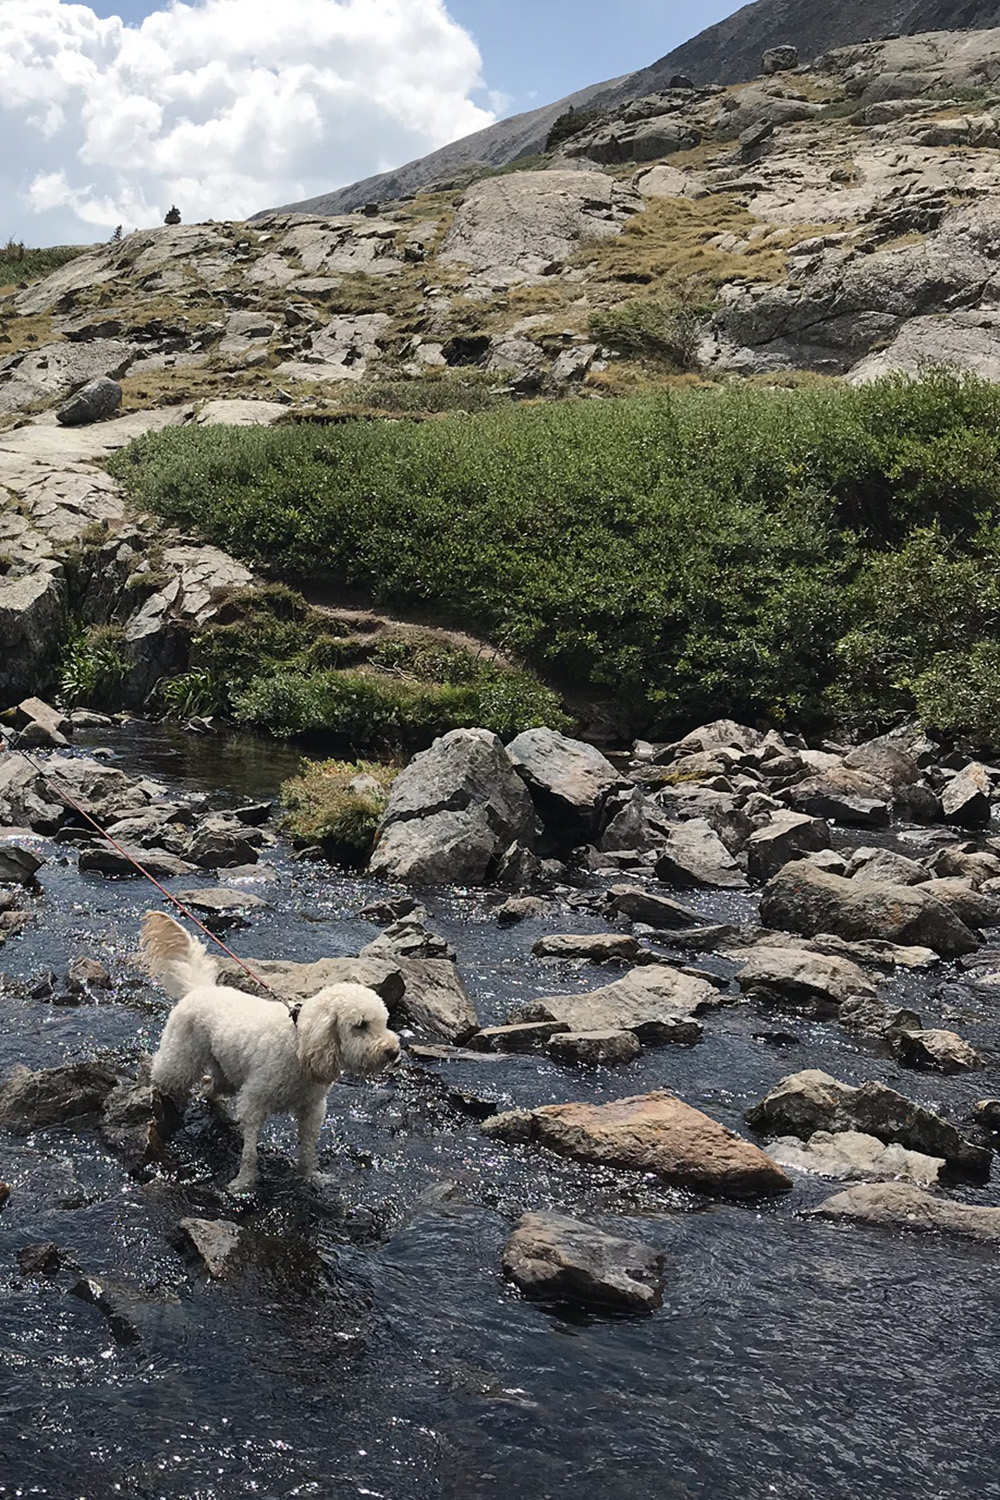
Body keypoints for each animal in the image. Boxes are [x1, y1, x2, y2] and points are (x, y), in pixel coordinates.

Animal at [142, 906, 401, 1188]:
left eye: (383, 1022)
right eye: (360, 1025)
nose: (393, 1052)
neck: (300, 1044)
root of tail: (200, 989)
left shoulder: (312, 1109)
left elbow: (307, 1149)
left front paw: (311, 1176)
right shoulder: (254, 1100)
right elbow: (250, 1151)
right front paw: (244, 1182)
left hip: (226, 1073)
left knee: (209, 1085)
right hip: (180, 1060)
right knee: (162, 1074)